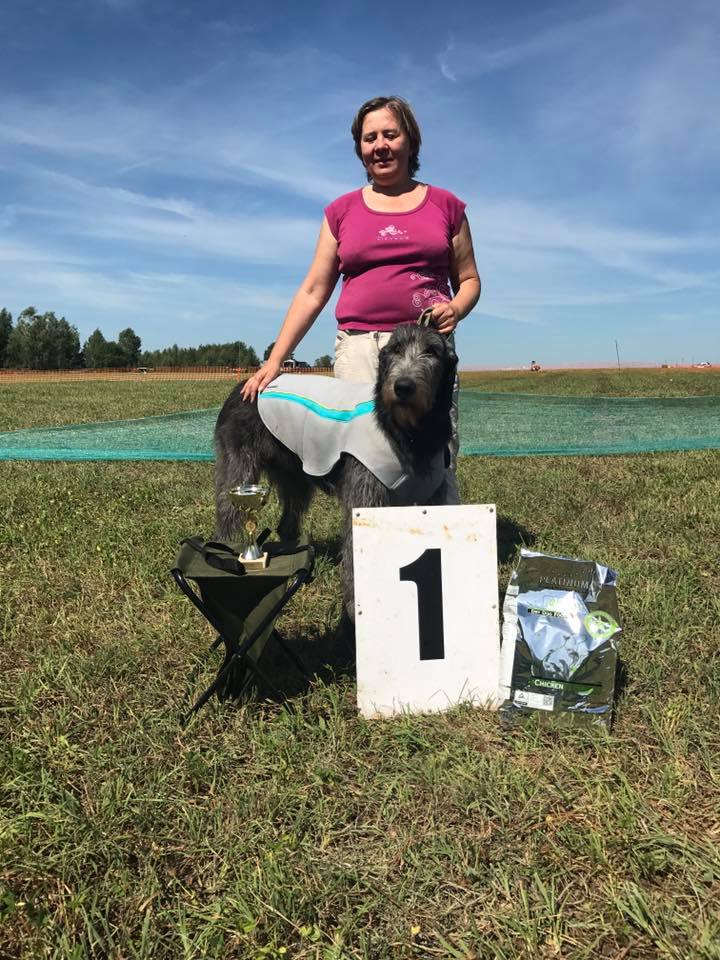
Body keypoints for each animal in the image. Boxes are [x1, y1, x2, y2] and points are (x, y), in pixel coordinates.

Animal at [214, 322, 458, 620]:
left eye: (432, 351)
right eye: (395, 349)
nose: (403, 387)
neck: (408, 433)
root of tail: (245, 384)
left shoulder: (430, 498)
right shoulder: (365, 493)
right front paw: (356, 606)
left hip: (294, 476)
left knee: (287, 522)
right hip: (239, 470)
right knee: (227, 514)